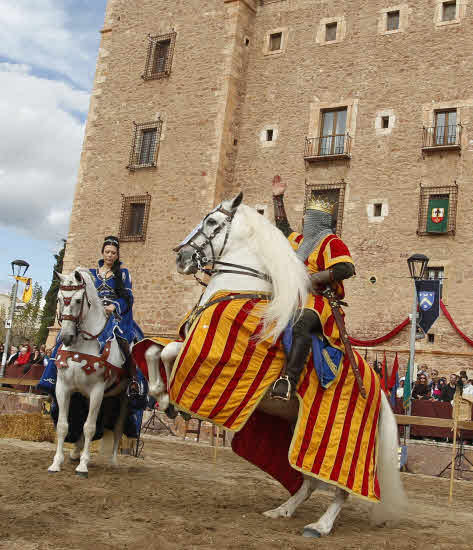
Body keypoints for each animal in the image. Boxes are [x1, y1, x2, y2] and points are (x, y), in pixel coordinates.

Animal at [48, 270, 128, 476]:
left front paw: (83, 465)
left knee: (117, 429)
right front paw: (56, 463)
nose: (66, 337)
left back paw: (112, 462)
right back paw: (76, 452)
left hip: (122, 399)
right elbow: (63, 426)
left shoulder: (97, 391)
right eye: (59, 299)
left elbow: (89, 427)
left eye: (78, 300)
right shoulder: (63, 387)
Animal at [141, 194, 406, 540]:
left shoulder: (212, 354)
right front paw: (162, 397)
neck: (237, 289)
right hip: (301, 431)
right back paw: (283, 510)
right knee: (309, 481)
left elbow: (169, 352)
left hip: (341, 441)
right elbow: (155, 351)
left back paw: (320, 525)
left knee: (341, 487)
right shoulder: (186, 342)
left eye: (212, 222)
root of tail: (377, 389)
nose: (181, 257)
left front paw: (169, 401)